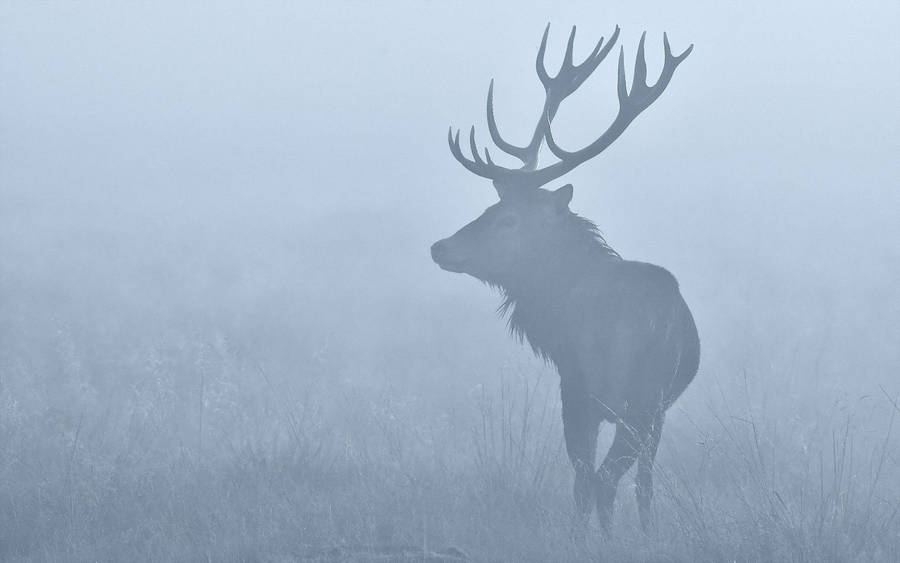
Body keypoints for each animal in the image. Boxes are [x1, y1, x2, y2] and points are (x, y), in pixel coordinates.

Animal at [430, 24, 700, 533]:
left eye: (508, 220)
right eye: (490, 208)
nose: (440, 247)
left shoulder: (588, 390)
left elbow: (602, 482)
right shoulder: (645, 407)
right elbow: (639, 485)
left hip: (609, 395)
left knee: (596, 478)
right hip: (634, 399)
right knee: (609, 479)